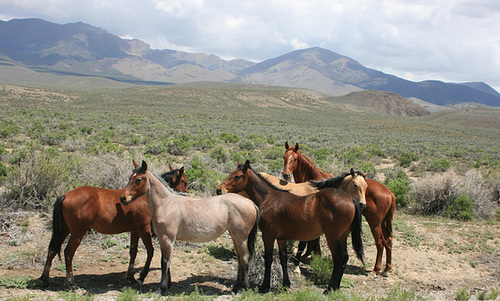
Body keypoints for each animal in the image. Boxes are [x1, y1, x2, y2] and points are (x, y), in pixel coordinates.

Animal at [39, 164, 189, 288]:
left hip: (64, 230)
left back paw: (45, 279)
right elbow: (150, 251)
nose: (187, 195)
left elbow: (133, 252)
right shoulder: (144, 229)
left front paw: (130, 277)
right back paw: (71, 282)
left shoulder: (135, 231)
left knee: (52, 249)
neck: (144, 197)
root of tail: (65, 195)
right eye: (184, 181)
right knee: (68, 252)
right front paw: (141, 276)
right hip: (77, 233)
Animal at [120, 159, 258, 292]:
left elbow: (165, 261)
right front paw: (167, 285)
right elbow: (166, 260)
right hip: (235, 236)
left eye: (138, 179)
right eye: (129, 178)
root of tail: (251, 203)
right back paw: (236, 287)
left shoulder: (166, 238)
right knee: (240, 258)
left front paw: (161, 288)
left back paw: (243, 288)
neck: (166, 203)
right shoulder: (164, 239)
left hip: (241, 237)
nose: (123, 198)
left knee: (244, 258)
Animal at [215, 161, 364, 292]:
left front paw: (265, 286)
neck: (268, 198)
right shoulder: (281, 238)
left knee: (338, 258)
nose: (219, 190)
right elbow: (283, 259)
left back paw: (329, 288)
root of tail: (351, 200)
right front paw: (286, 284)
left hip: (332, 237)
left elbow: (268, 259)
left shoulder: (268, 236)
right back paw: (336, 287)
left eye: (237, 176)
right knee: (345, 257)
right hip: (342, 236)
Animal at [284, 142, 396, 276]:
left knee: (380, 242)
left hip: (374, 222)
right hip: (383, 222)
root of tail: (390, 193)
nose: (286, 175)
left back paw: (376, 269)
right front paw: (311, 254)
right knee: (388, 240)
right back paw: (386, 269)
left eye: (295, 159)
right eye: (284, 157)